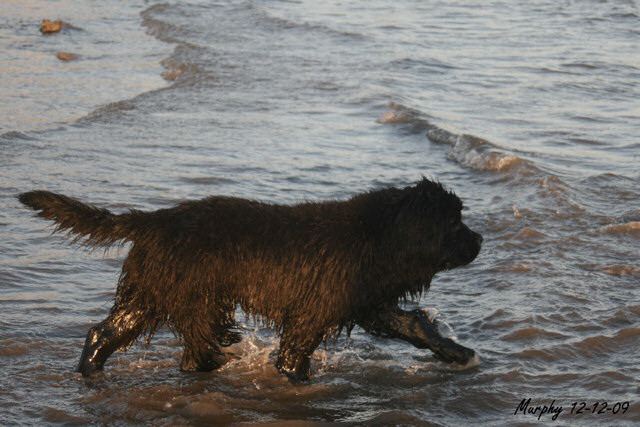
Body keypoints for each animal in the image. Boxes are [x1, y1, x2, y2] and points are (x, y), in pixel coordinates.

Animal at [18, 178, 480, 382]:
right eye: (454, 223)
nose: (479, 240)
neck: (379, 236)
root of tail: (153, 221)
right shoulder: (313, 312)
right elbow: (294, 354)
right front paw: (296, 380)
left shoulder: (368, 301)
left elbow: (414, 326)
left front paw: (458, 353)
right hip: (193, 297)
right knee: (196, 347)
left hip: (152, 290)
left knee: (107, 331)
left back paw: (90, 370)